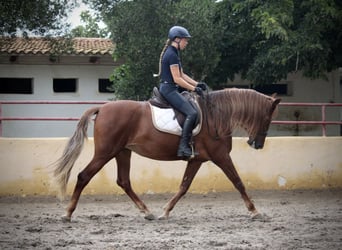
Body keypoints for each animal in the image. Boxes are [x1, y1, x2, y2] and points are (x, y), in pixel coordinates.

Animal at [54, 87, 280, 221]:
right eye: (268, 119)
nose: (257, 144)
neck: (216, 116)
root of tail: (102, 109)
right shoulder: (221, 156)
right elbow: (238, 182)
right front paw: (254, 210)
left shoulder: (197, 159)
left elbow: (184, 186)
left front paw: (165, 211)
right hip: (105, 152)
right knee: (84, 176)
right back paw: (67, 213)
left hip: (122, 152)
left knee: (124, 181)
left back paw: (147, 212)